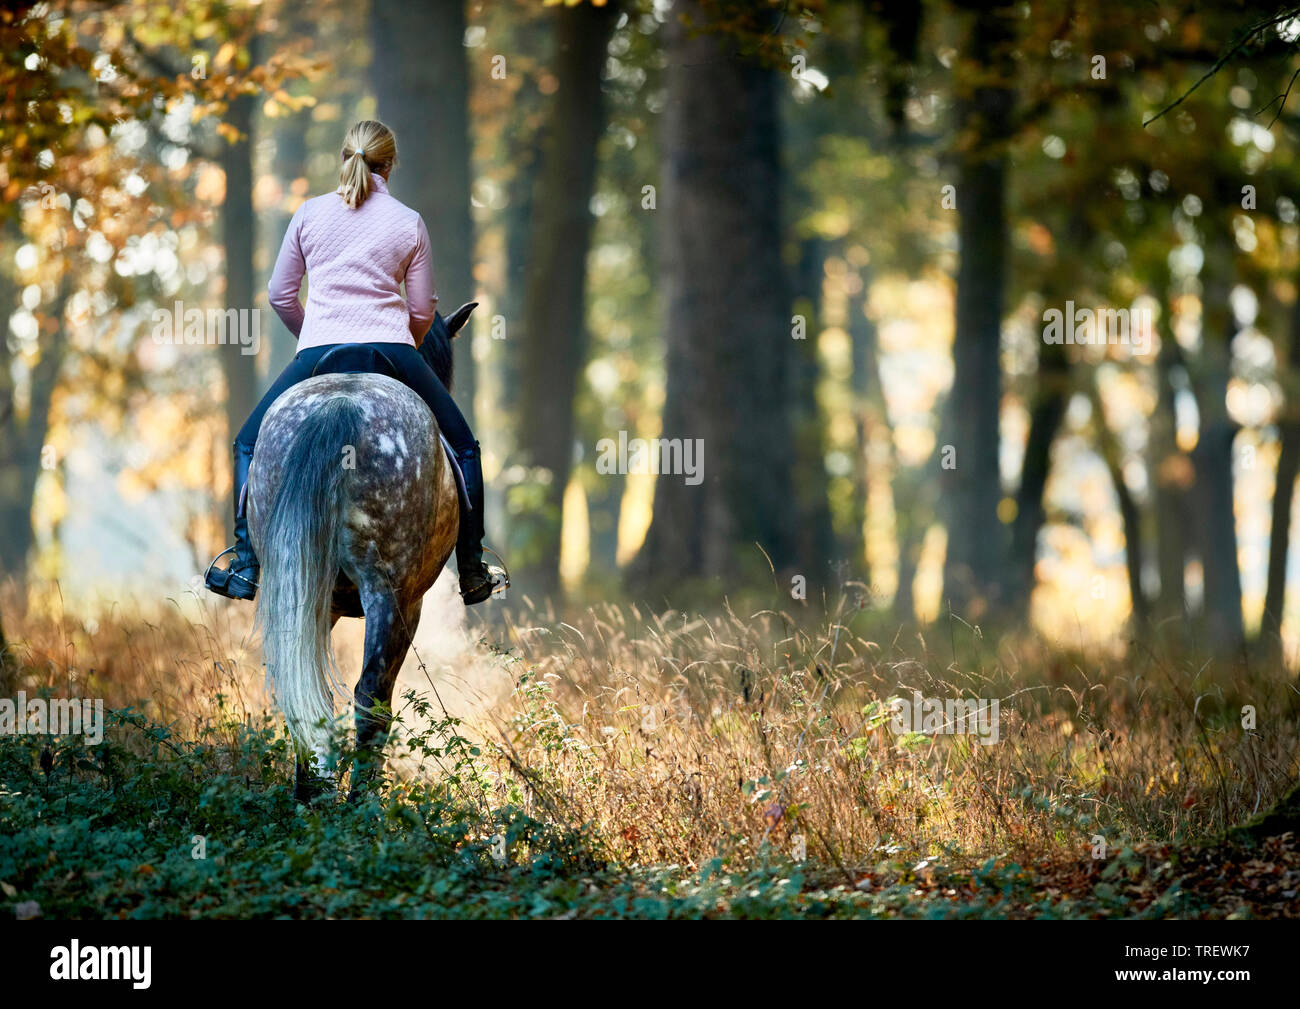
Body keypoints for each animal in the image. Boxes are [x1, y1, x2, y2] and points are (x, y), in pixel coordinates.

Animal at [245, 302, 475, 800]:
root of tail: (341, 406)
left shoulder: (321, 602)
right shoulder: (412, 605)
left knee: (303, 686)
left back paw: (310, 796)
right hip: (389, 594)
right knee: (371, 697)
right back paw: (359, 804)